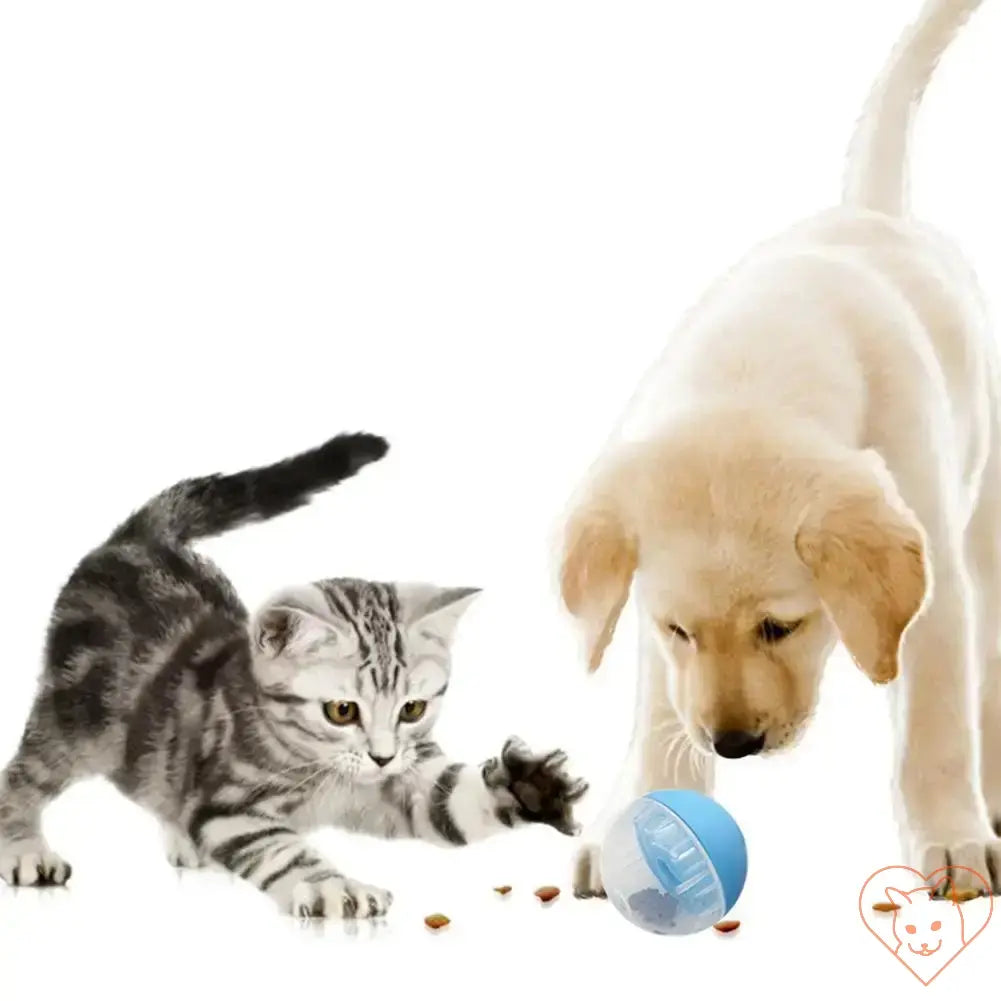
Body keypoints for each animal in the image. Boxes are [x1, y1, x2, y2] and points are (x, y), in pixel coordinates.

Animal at [0, 434, 584, 916]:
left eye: (412, 708)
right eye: (342, 711)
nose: (381, 756)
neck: (325, 774)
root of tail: (137, 539)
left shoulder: (411, 782)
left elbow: (452, 801)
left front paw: (528, 786)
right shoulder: (232, 806)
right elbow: (282, 850)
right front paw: (336, 887)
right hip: (70, 720)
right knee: (24, 776)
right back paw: (25, 848)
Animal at [564, 0, 1001, 900]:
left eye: (779, 625)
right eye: (678, 629)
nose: (733, 744)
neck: (756, 369)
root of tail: (870, 210)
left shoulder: (934, 585)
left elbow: (935, 719)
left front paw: (949, 838)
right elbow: (657, 714)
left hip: (981, 516)